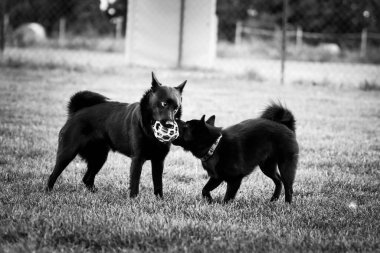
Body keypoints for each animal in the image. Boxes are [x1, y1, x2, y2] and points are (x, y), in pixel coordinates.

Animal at [46, 72, 186, 197]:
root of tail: (76, 112)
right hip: (67, 153)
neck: (149, 129)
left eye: (176, 108)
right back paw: (48, 192)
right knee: (53, 175)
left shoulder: (158, 160)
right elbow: (135, 184)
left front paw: (159, 200)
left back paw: (96, 193)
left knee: (87, 178)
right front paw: (134, 201)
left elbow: (158, 185)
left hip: (99, 157)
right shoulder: (137, 159)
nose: (169, 124)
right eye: (164, 104)